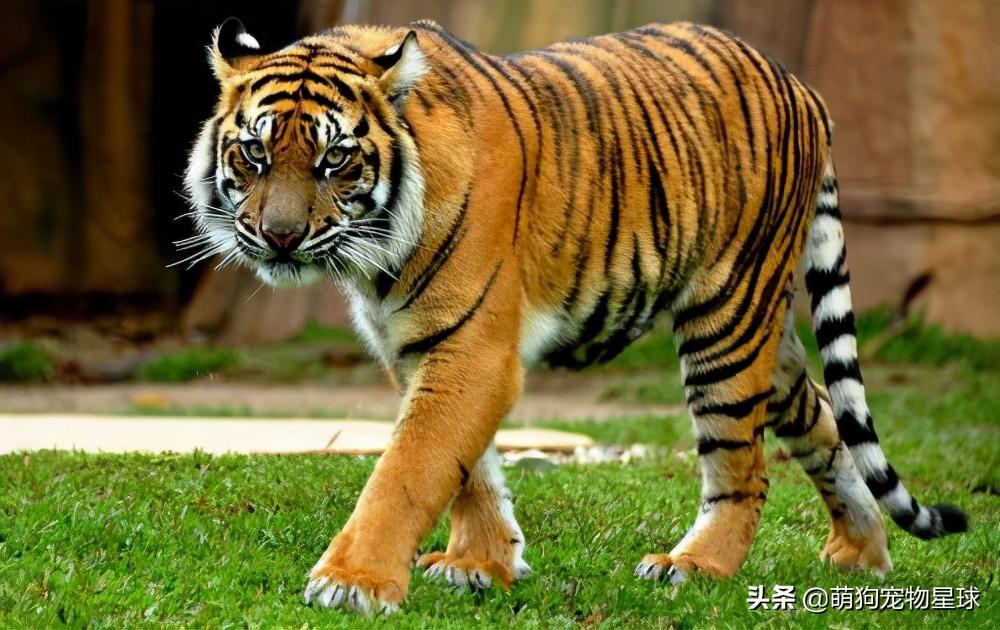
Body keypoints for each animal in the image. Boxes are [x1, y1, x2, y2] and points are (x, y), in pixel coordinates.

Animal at [183, 17, 968, 614]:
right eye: (254, 153)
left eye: (335, 160)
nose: (280, 237)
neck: (375, 256)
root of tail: (802, 87)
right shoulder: (416, 346)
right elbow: (467, 469)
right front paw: (483, 564)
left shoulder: (471, 349)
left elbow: (410, 468)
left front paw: (352, 583)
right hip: (763, 335)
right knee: (823, 416)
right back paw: (862, 551)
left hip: (727, 319)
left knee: (744, 469)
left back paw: (694, 565)